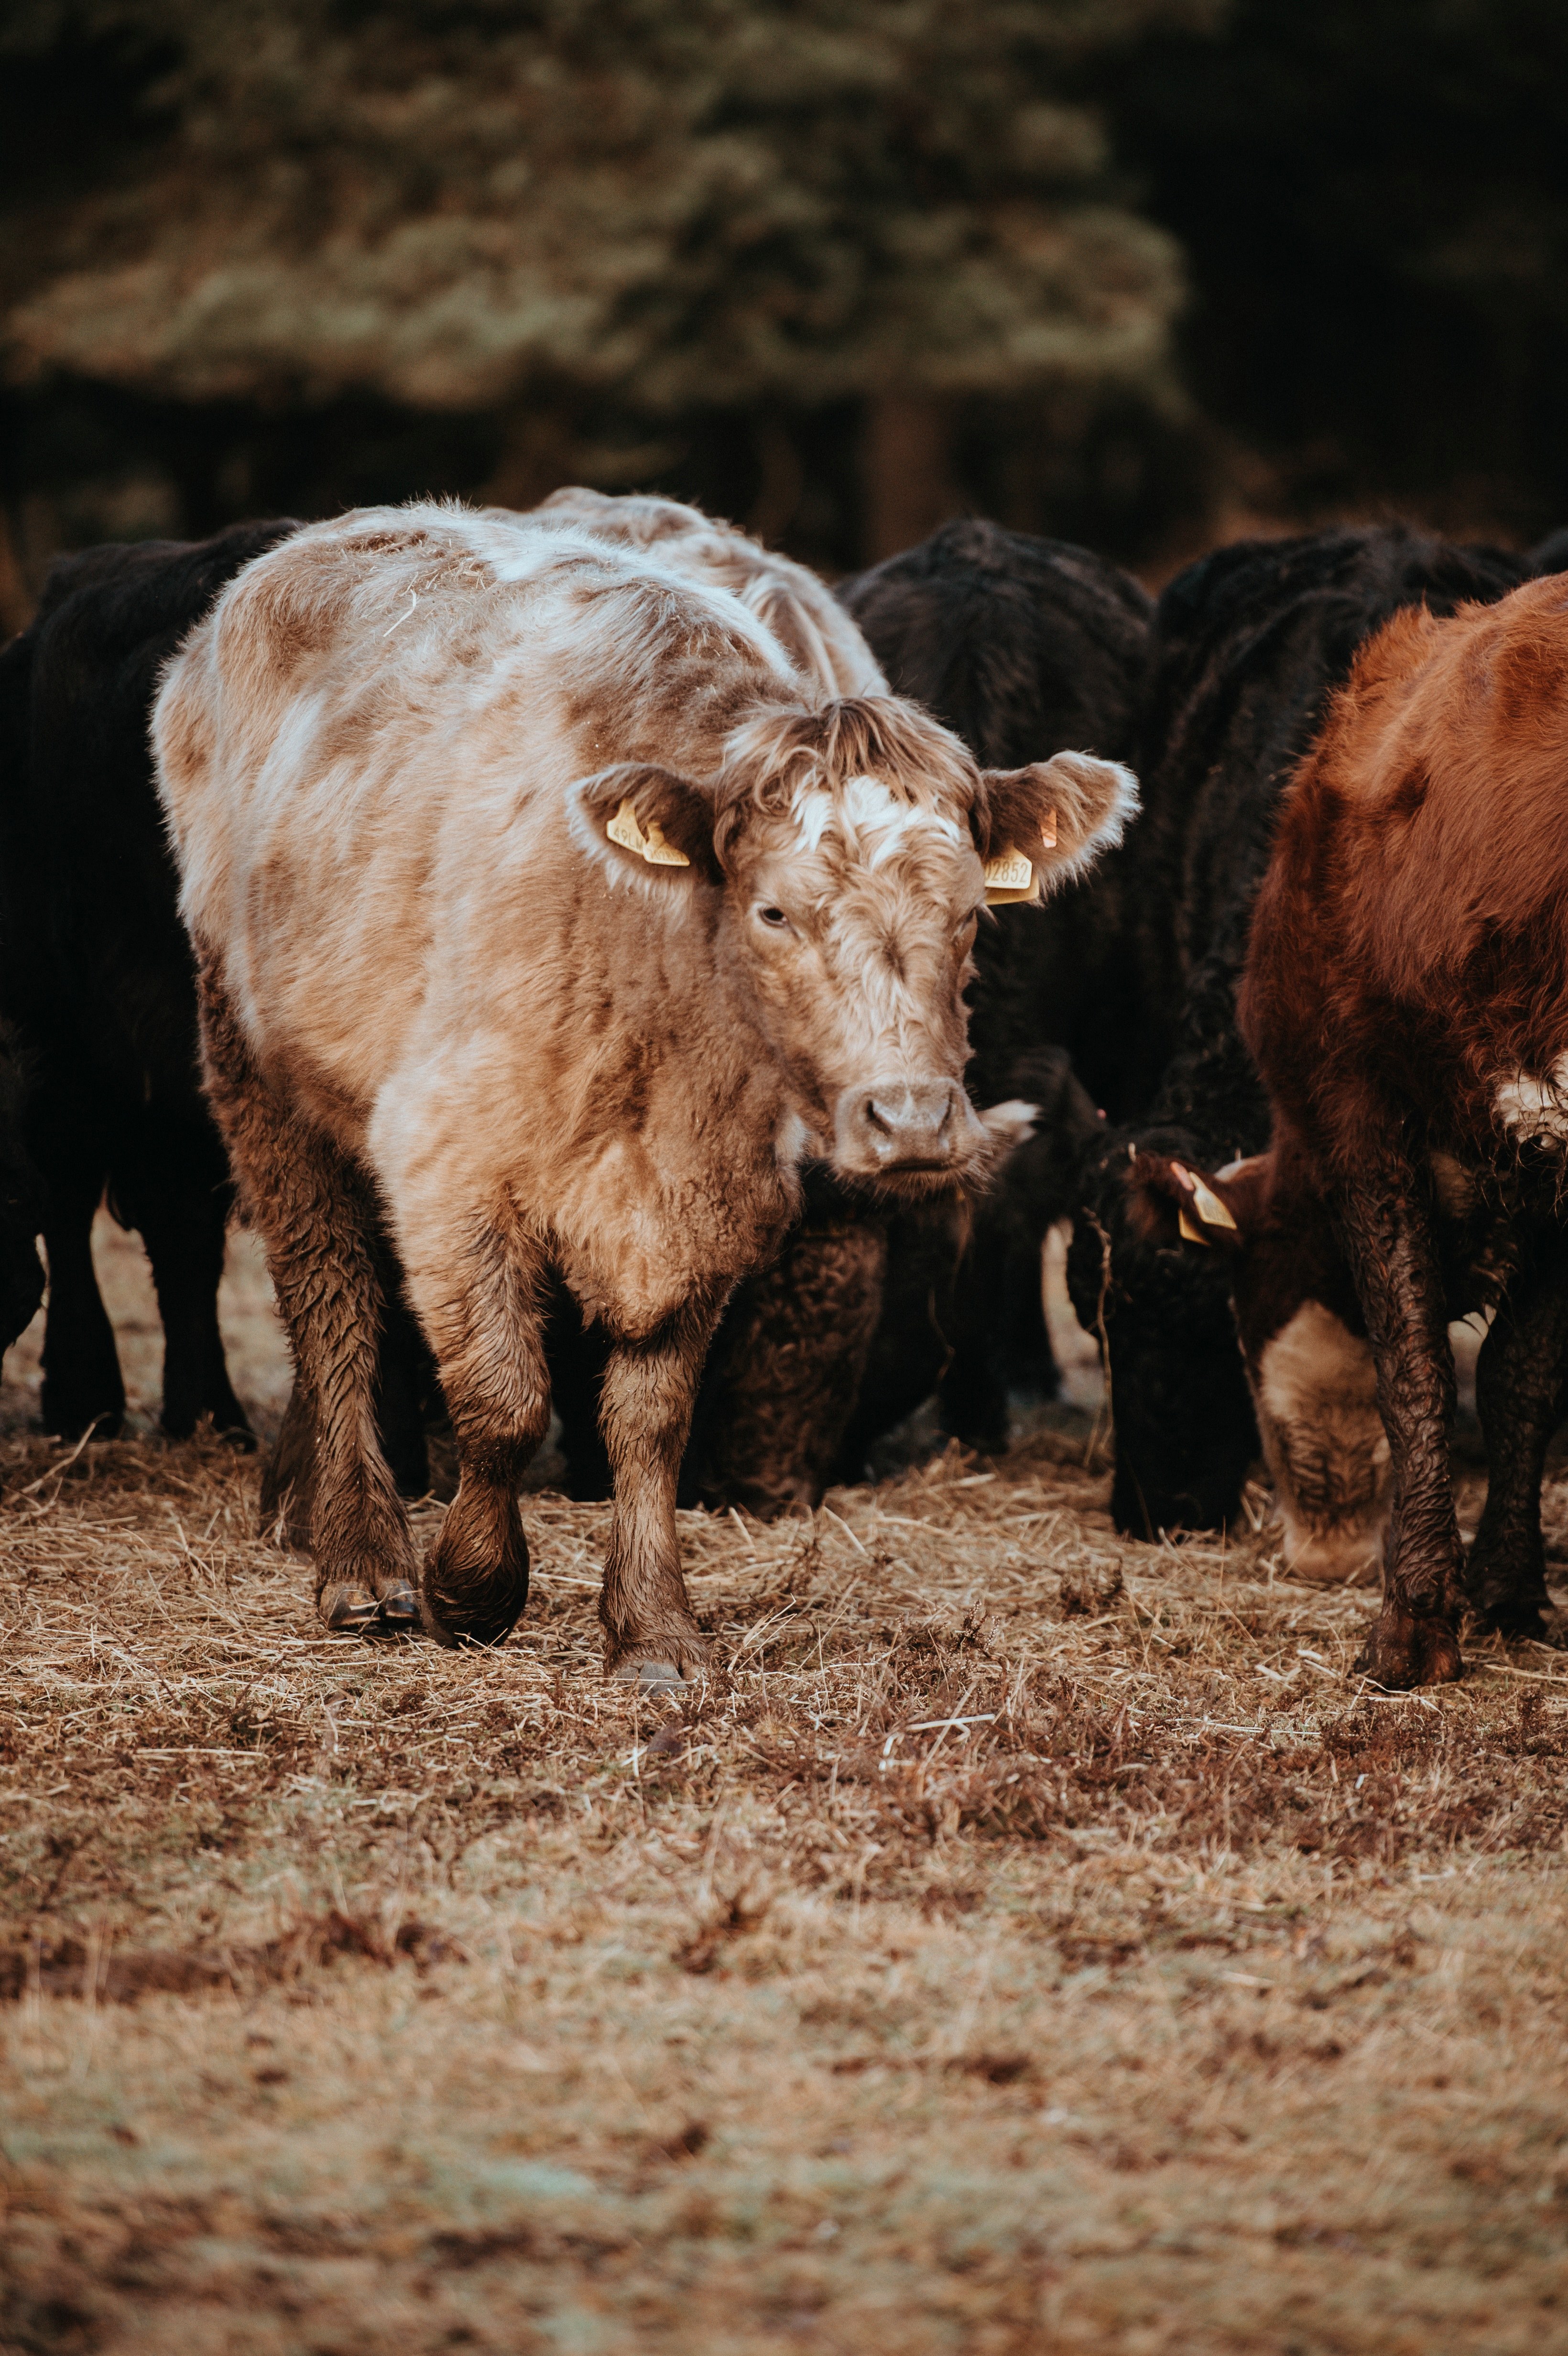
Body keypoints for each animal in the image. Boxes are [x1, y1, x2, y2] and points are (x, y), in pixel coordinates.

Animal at [152, 502, 1135, 1674]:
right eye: (773, 912)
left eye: (970, 914)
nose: (908, 1119)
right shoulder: (445, 1159)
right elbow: (502, 1397)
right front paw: (471, 1587)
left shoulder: (703, 1200)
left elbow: (651, 1416)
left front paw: (653, 1626)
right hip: (253, 1060)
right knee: (330, 1287)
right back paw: (353, 1554)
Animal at [1135, 570, 1568, 1686]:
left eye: (1236, 1330)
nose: (1316, 1552)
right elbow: (1516, 1375)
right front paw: (1508, 1591)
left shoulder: (1355, 1108)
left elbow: (1414, 1368)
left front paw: (1412, 1623)